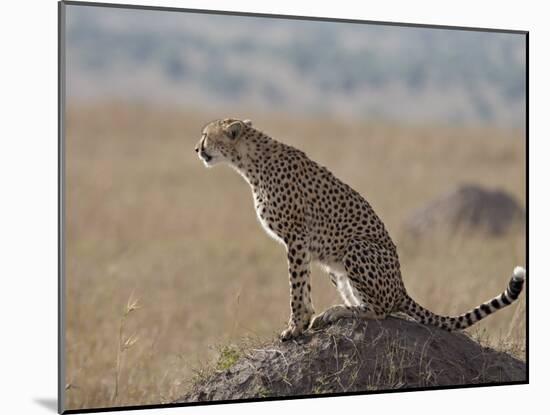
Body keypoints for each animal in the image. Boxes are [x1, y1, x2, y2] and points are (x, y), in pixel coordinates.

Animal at [196, 117, 528, 342]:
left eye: (206, 136)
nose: (197, 148)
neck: (250, 162)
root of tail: (401, 289)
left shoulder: (297, 239)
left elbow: (297, 287)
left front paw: (295, 326)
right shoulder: (301, 244)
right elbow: (302, 287)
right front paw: (301, 322)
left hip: (357, 248)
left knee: (380, 310)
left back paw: (336, 311)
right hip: (335, 265)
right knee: (375, 306)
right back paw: (337, 310)